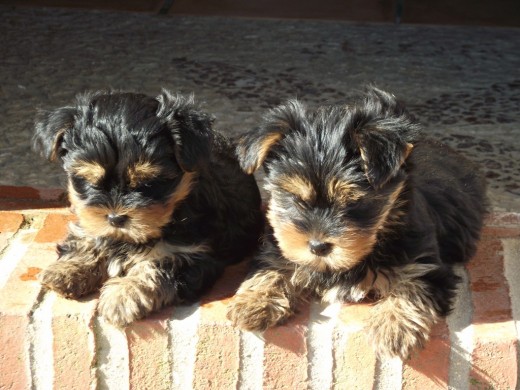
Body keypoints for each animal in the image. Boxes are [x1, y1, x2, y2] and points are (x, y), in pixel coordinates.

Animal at [32, 90, 264, 328]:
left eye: (148, 183)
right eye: (90, 182)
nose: (115, 218)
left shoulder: (193, 255)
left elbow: (154, 266)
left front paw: (123, 295)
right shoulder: (90, 222)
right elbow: (88, 236)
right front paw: (67, 269)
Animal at [228, 87, 488, 360]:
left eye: (354, 202)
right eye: (295, 198)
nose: (318, 246)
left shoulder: (425, 264)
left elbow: (412, 285)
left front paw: (393, 327)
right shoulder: (278, 246)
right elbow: (271, 267)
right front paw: (252, 302)